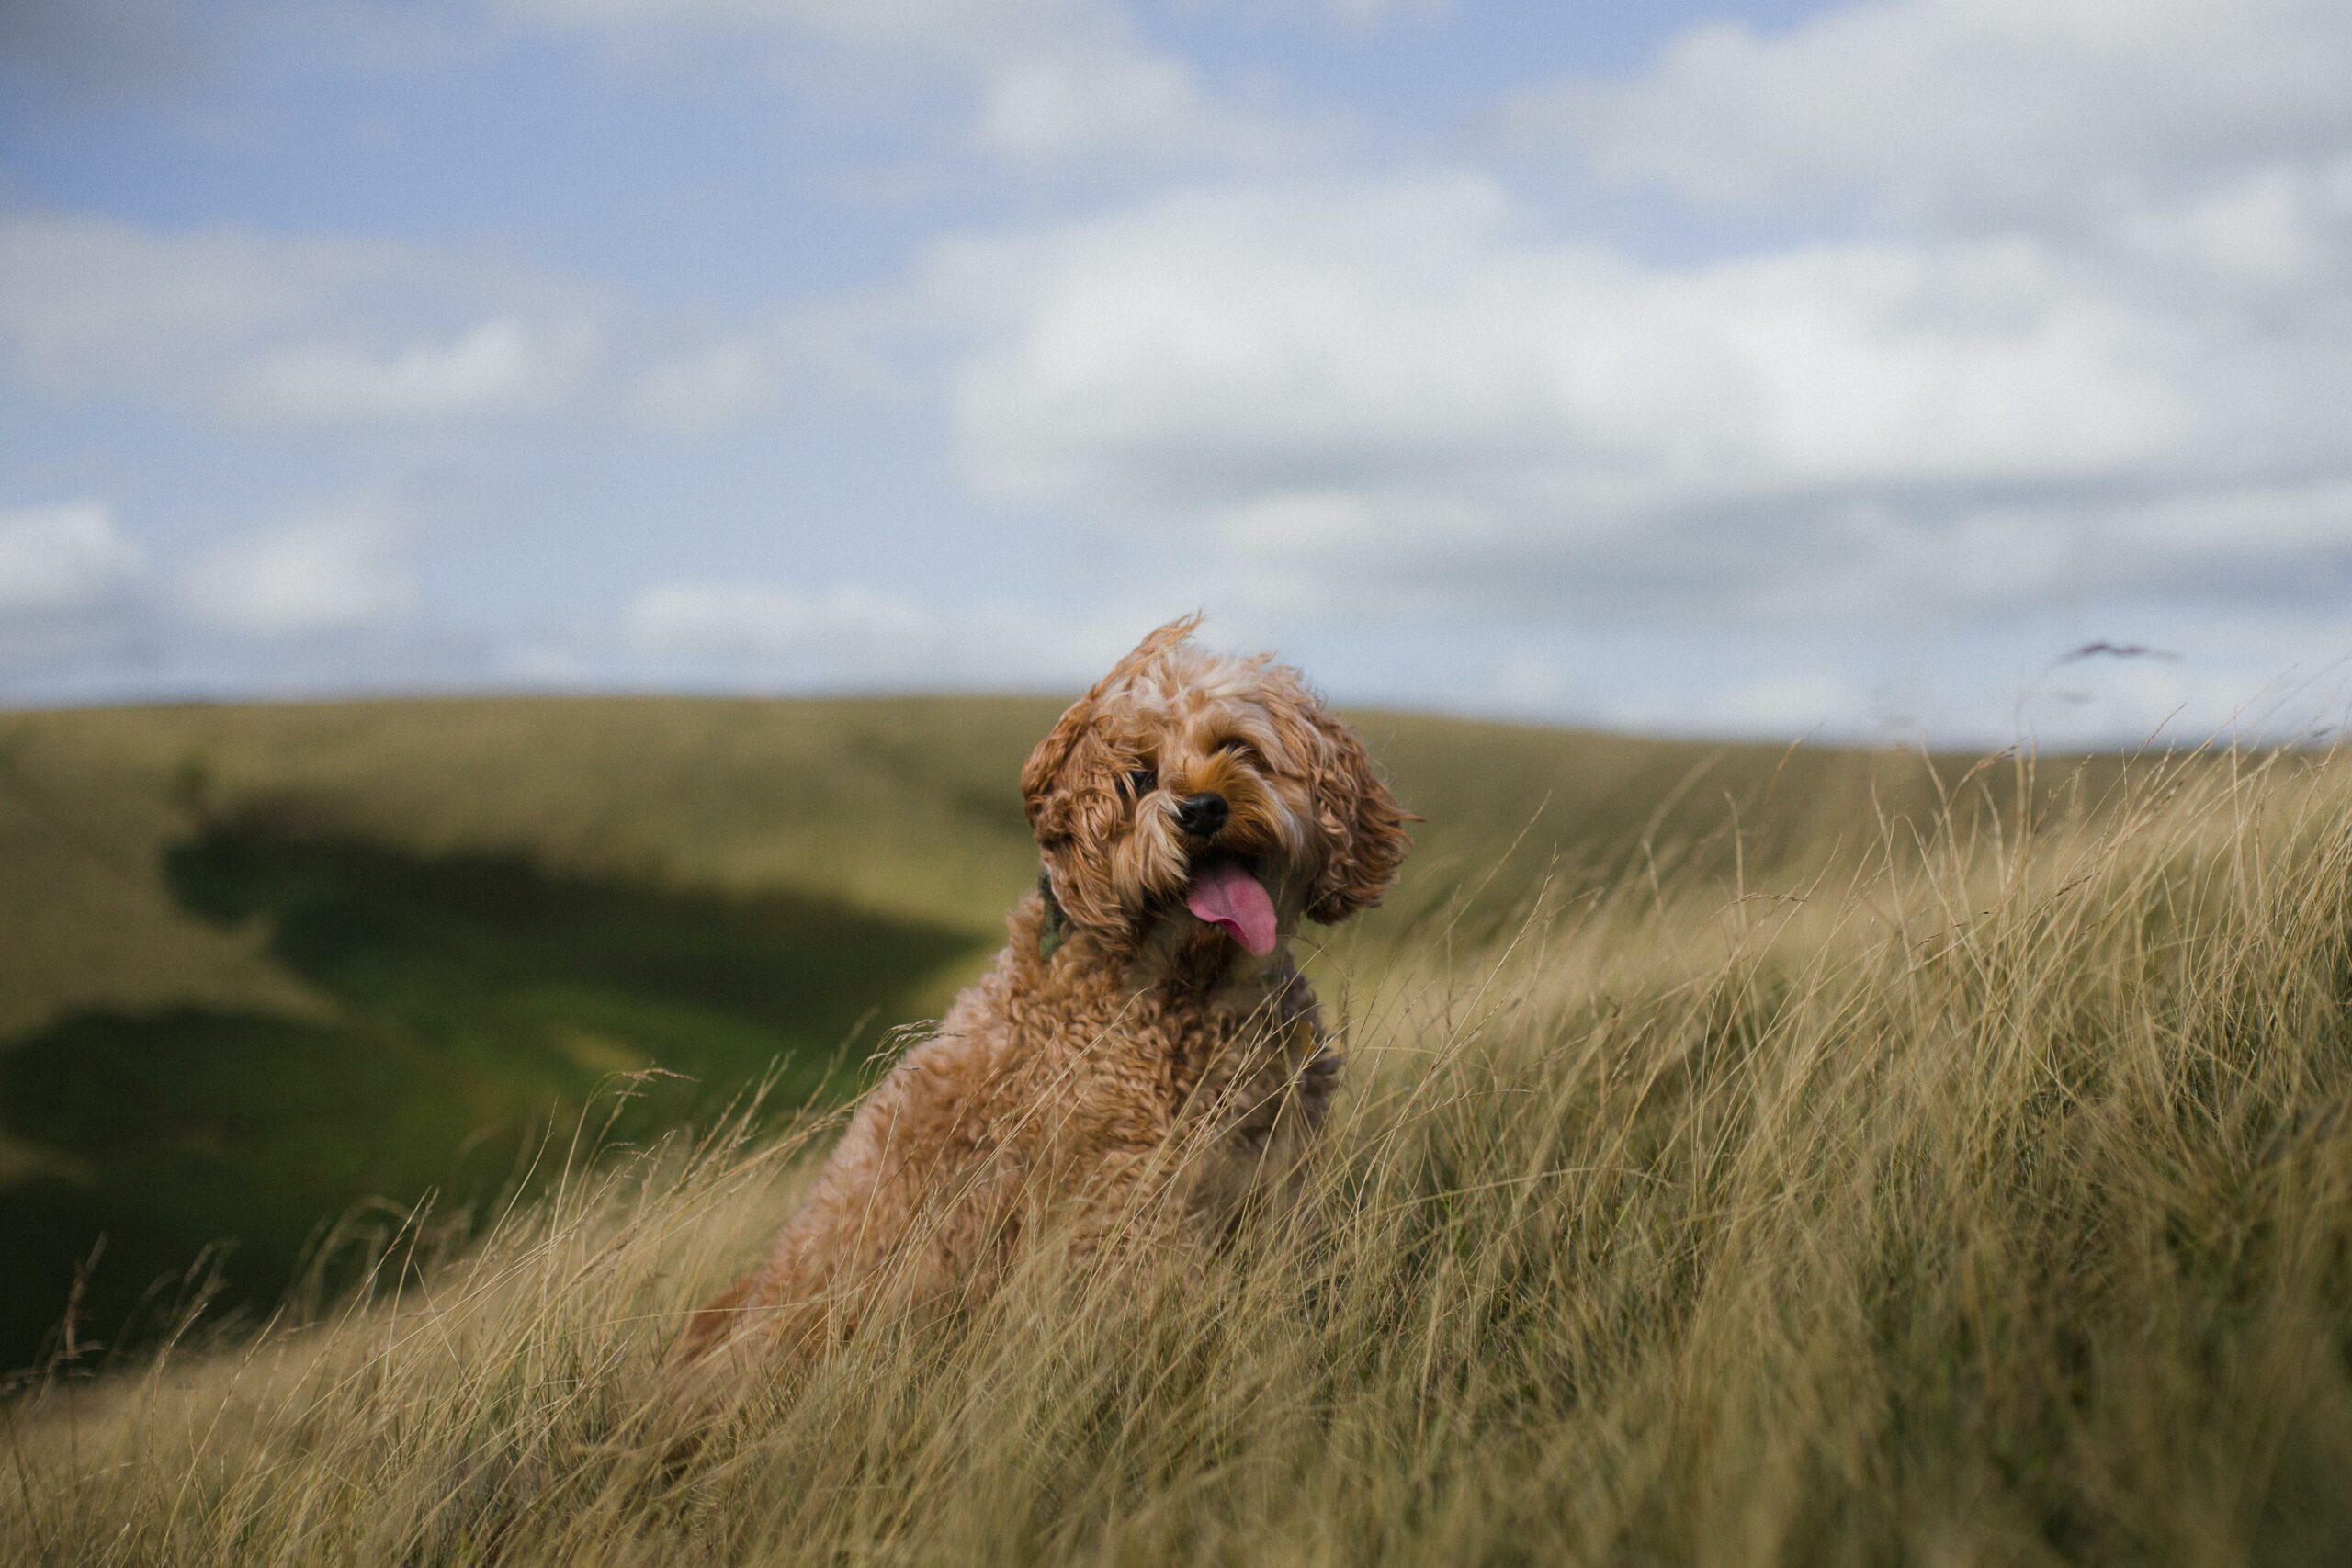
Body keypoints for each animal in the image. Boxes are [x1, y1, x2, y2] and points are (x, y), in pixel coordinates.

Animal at [677, 620, 1411, 1392]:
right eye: (1139, 777)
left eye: (1238, 747)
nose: (1202, 810)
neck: (1190, 984)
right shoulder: (1131, 1200)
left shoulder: (1272, 1177)